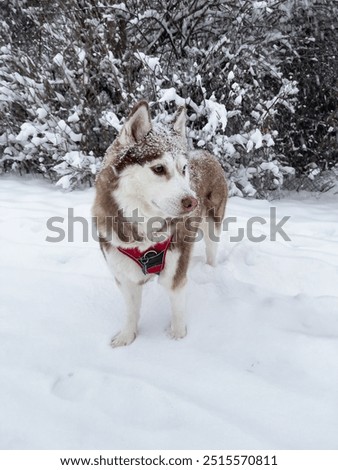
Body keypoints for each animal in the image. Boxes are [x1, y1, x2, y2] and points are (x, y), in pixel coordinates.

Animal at [92, 101, 227, 346]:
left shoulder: (175, 272)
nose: (193, 202)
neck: (144, 234)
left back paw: (210, 270)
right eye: (158, 169)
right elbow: (131, 310)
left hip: (213, 225)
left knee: (212, 249)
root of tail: (205, 153)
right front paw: (127, 336)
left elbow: (177, 308)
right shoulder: (124, 276)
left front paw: (177, 337)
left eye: (184, 169)